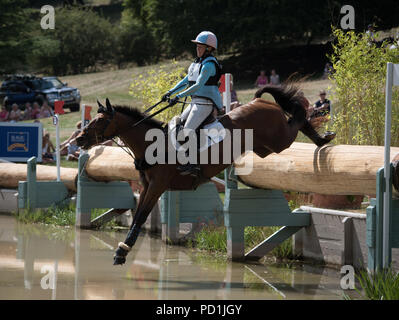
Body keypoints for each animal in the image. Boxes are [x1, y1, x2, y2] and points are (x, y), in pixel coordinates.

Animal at [76, 83, 338, 264]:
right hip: (265, 148)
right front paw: (123, 249)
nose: (79, 139)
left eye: (99, 122)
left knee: (297, 119)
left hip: (278, 140)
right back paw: (322, 137)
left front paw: (122, 251)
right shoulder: (148, 185)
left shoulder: (157, 186)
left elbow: (141, 216)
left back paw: (322, 136)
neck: (152, 144)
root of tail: (257, 102)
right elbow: (138, 214)